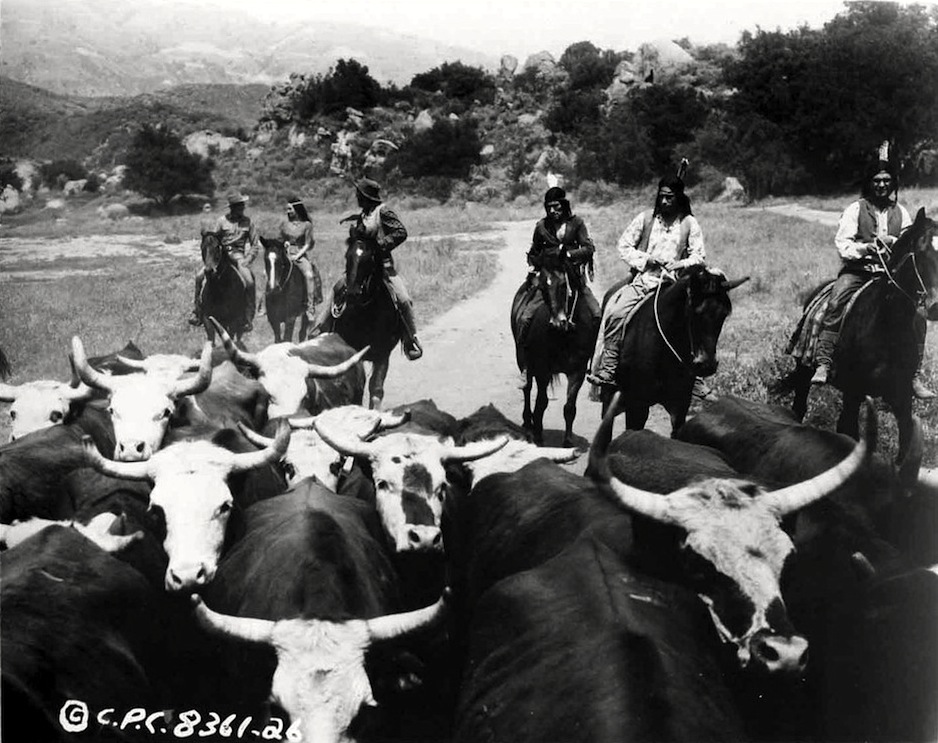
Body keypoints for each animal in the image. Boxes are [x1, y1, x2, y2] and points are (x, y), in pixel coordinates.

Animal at [320, 237, 400, 410]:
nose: (352, 293)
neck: (366, 313)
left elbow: (376, 389)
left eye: (369, 259)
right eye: (347, 257)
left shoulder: (383, 353)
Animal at [508, 258, 596, 444]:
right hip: (522, 358)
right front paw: (538, 435)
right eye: (542, 287)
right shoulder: (543, 370)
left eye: (563, 285)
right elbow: (541, 402)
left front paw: (568, 441)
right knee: (527, 388)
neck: (565, 336)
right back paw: (528, 422)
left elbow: (569, 407)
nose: (557, 322)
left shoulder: (577, 372)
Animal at [772, 206, 936, 468]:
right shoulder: (854, 392)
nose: (935, 306)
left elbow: (905, 448)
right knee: (800, 409)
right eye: (921, 252)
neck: (886, 326)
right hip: (805, 373)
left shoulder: (901, 396)